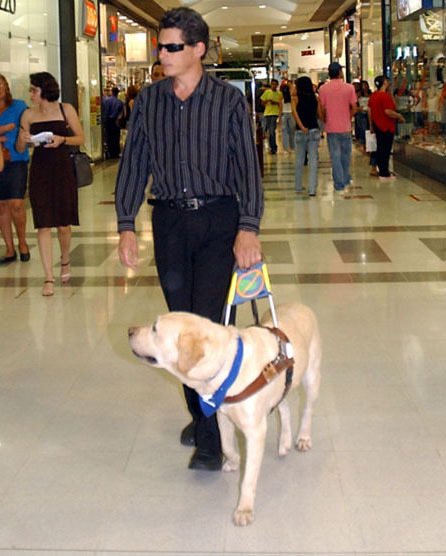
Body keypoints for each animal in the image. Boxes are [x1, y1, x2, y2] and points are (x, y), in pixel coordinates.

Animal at [129, 304, 320, 524]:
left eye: (155, 328)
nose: (129, 331)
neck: (227, 367)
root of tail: (298, 304)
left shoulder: (256, 432)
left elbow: (249, 478)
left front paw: (244, 509)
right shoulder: (222, 416)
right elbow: (227, 446)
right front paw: (234, 462)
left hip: (312, 377)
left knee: (307, 410)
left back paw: (303, 438)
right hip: (281, 384)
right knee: (285, 406)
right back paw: (284, 442)